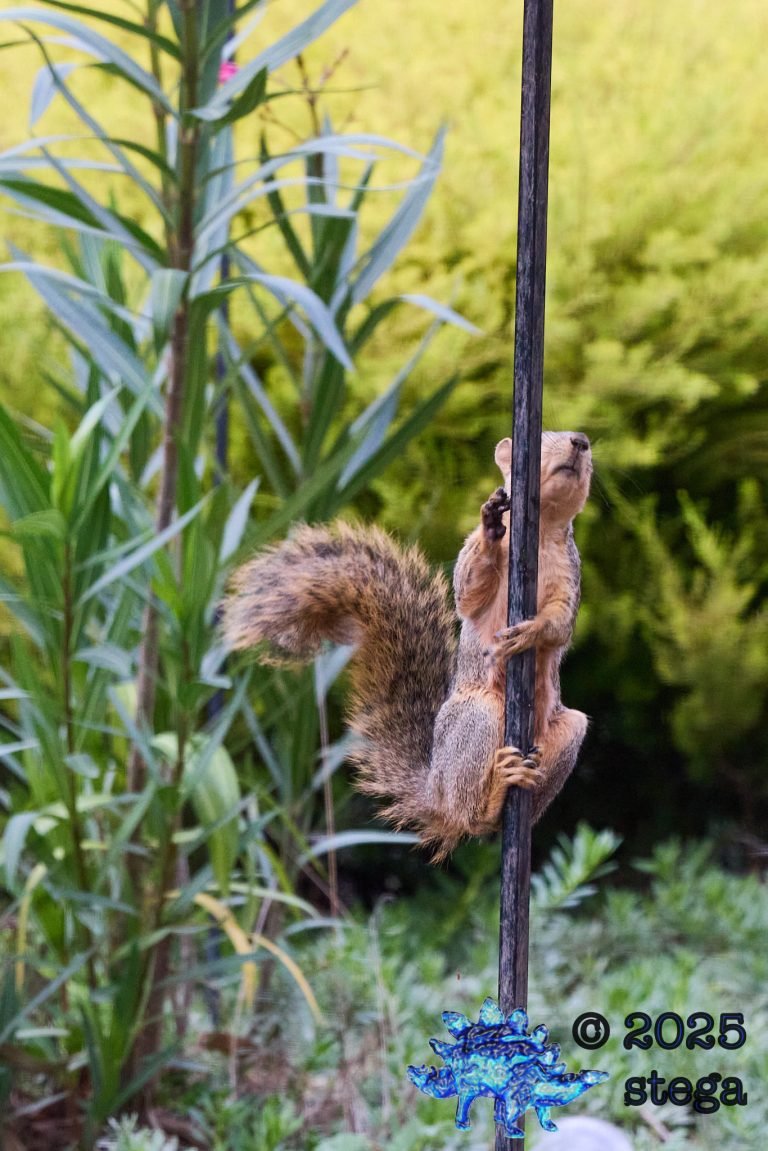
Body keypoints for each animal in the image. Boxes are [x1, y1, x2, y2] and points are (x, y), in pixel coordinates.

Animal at [222, 431, 592, 860]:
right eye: (545, 436)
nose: (580, 441)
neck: (541, 530)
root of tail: (434, 791)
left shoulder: (570, 576)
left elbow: (561, 624)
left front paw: (531, 632)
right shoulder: (479, 573)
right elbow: (468, 590)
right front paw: (490, 524)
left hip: (568, 730)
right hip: (480, 715)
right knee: (470, 816)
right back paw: (494, 791)